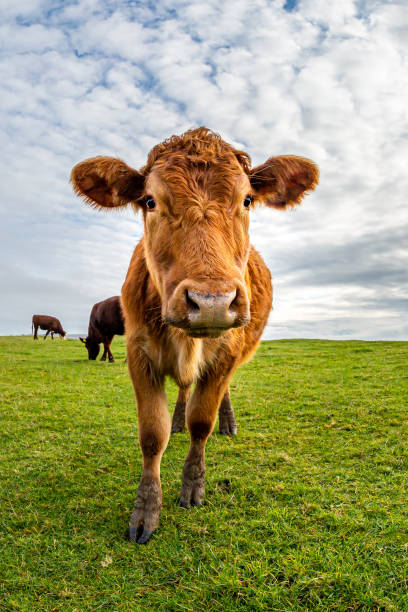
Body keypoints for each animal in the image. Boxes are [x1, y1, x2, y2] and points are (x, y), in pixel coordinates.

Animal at [71, 126, 318, 544]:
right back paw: (178, 418)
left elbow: (202, 422)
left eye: (247, 199)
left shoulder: (225, 355)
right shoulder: (138, 354)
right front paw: (146, 511)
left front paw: (192, 486)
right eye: (150, 201)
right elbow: (152, 434)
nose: (212, 302)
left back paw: (227, 422)